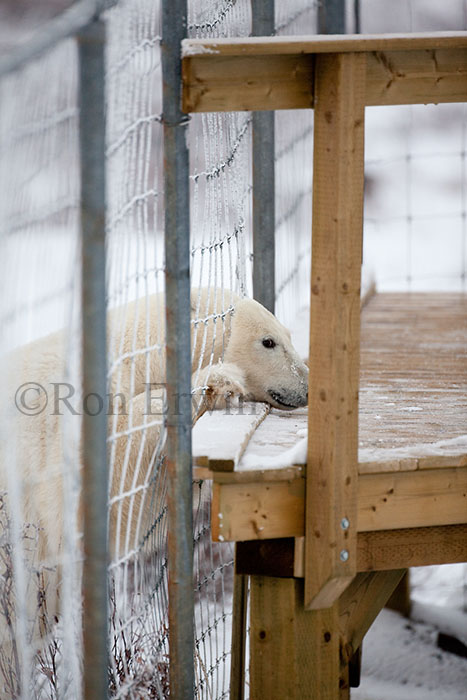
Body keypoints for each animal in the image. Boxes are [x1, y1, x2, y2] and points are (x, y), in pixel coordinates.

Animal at [1, 288, 308, 644]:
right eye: (268, 341)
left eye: (287, 335)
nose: (306, 386)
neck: (138, 356)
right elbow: (119, 474)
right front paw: (220, 382)